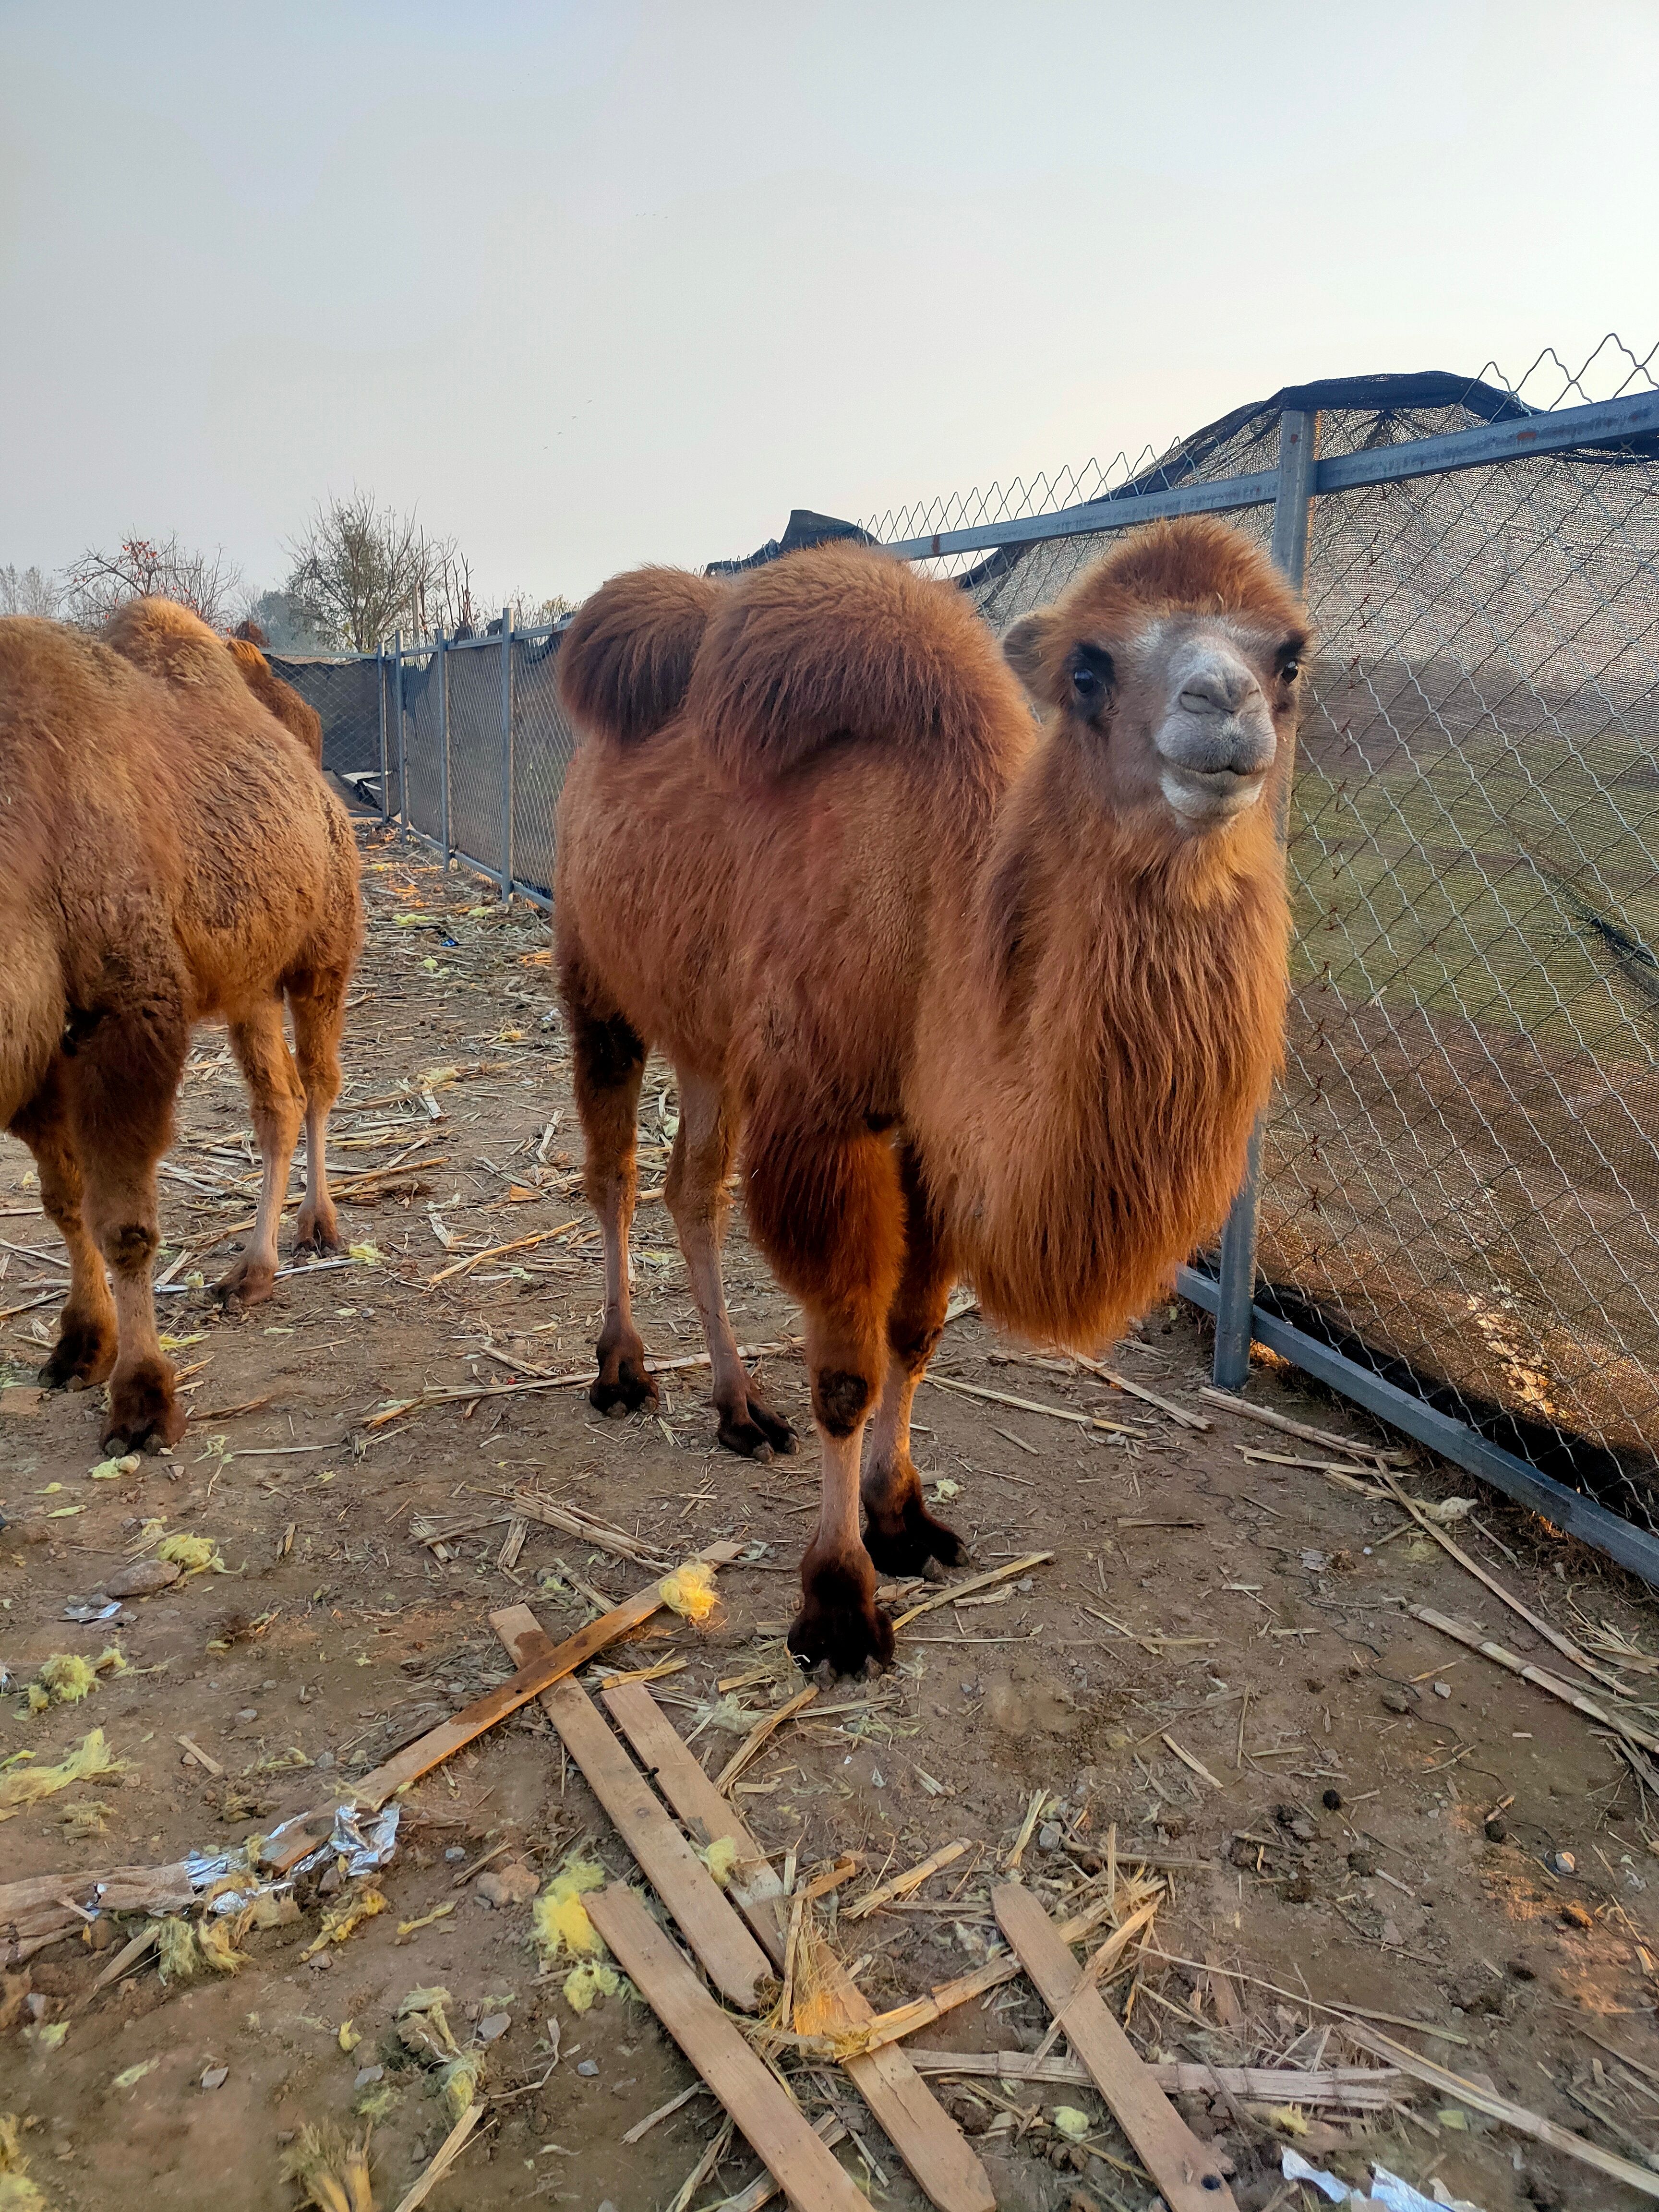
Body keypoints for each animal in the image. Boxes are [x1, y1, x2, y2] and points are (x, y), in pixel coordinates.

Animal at [559, 517, 1309, 1663]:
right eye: (1087, 670)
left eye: (1291, 660)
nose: (1223, 707)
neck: (936, 928)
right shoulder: (828, 1124)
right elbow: (846, 1372)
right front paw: (837, 1603)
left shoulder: (932, 1140)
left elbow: (914, 1338)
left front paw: (903, 1518)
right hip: (593, 975)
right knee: (612, 1174)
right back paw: (622, 1372)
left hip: (711, 1034)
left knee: (694, 1189)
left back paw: (739, 1409)